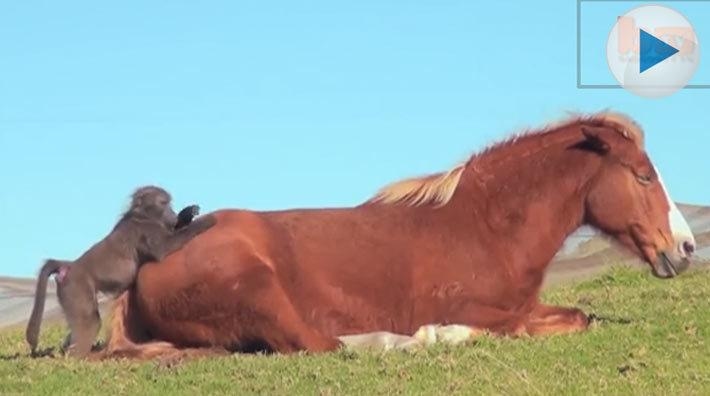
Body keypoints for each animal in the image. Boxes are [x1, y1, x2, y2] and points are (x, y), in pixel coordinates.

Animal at [103, 111, 700, 358]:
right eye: (643, 176)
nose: (686, 248)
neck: (485, 227)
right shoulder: (486, 311)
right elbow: (515, 327)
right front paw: (442, 333)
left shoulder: (526, 308)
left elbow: (578, 316)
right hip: (258, 287)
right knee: (316, 345)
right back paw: (405, 340)